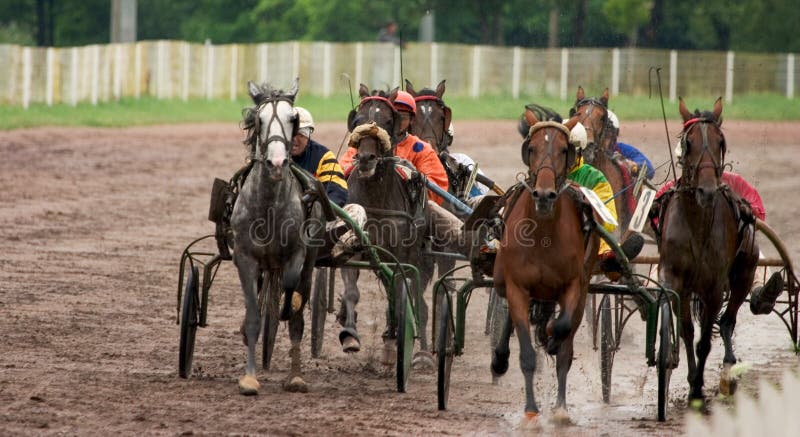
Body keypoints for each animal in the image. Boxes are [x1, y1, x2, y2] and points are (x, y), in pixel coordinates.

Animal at [230, 79, 324, 396]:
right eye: (258, 120)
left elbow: (293, 296)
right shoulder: (245, 259)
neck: (268, 207)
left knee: (298, 309)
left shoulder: (297, 255)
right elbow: (254, 316)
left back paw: (295, 376)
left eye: (292, 118)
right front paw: (249, 378)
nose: (278, 162)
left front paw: (289, 304)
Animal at [494, 110, 600, 424]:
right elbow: (527, 353)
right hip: (501, 280)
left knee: (567, 337)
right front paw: (530, 411)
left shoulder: (574, 284)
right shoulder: (517, 286)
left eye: (564, 150)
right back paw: (500, 357)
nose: (543, 195)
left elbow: (563, 329)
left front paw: (552, 337)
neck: (542, 234)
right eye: (531, 148)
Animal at [652, 97, 760, 408]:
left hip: (744, 271)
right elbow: (688, 332)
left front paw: (698, 387)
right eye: (688, 143)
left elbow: (704, 342)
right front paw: (691, 381)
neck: (697, 223)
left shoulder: (713, 287)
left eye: (720, 141)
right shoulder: (676, 280)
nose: (707, 190)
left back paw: (729, 369)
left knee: (727, 321)